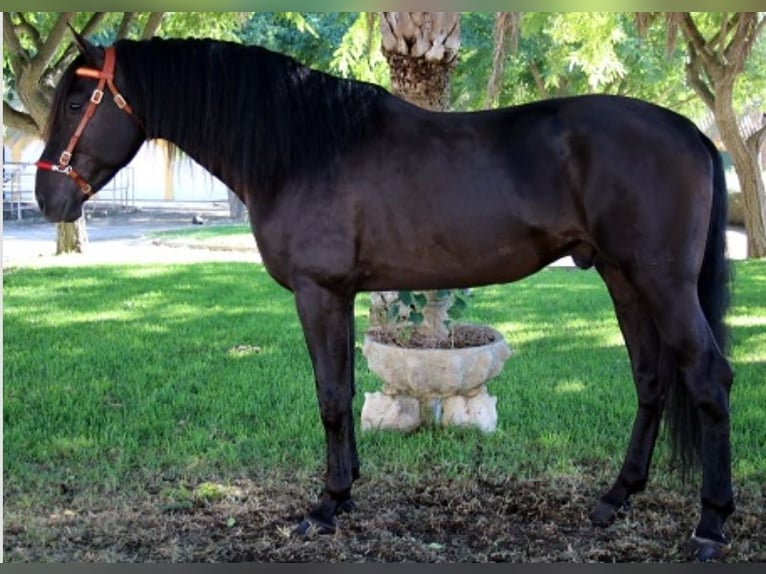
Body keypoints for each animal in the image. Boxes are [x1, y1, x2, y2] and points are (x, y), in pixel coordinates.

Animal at [36, 35, 736, 564]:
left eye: (74, 99)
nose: (48, 198)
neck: (302, 147)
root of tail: (690, 132)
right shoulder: (341, 296)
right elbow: (343, 393)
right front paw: (345, 495)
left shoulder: (318, 294)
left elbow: (328, 396)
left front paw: (324, 507)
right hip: (623, 278)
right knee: (651, 379)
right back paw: (616, 499)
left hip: (661, 282)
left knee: (707, 376)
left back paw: (710, 525)